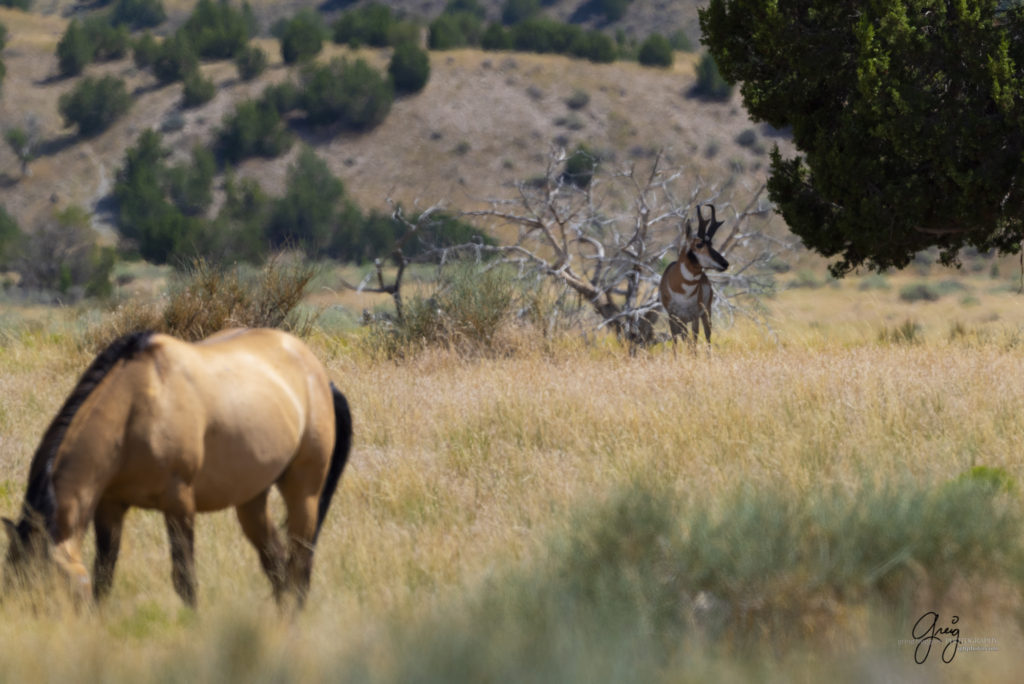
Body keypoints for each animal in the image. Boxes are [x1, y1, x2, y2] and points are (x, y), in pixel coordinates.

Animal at [4, 327, 352, 606]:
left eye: (45, 594)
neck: (137, 407)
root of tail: (319, 375)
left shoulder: (179, 503)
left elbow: (185, 580)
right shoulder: (110, 505)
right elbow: (104, 575)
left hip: (304, 493)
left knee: (300, 569)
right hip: (251, 500)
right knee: (278, 568)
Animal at [663, 201, 729, 342]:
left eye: (711, 244)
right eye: (699, 244)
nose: (725, 263)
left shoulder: (694, 316)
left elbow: (693, 341)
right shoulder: (672, 316)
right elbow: (676, 340)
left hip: (706, 313)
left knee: (707, 336)